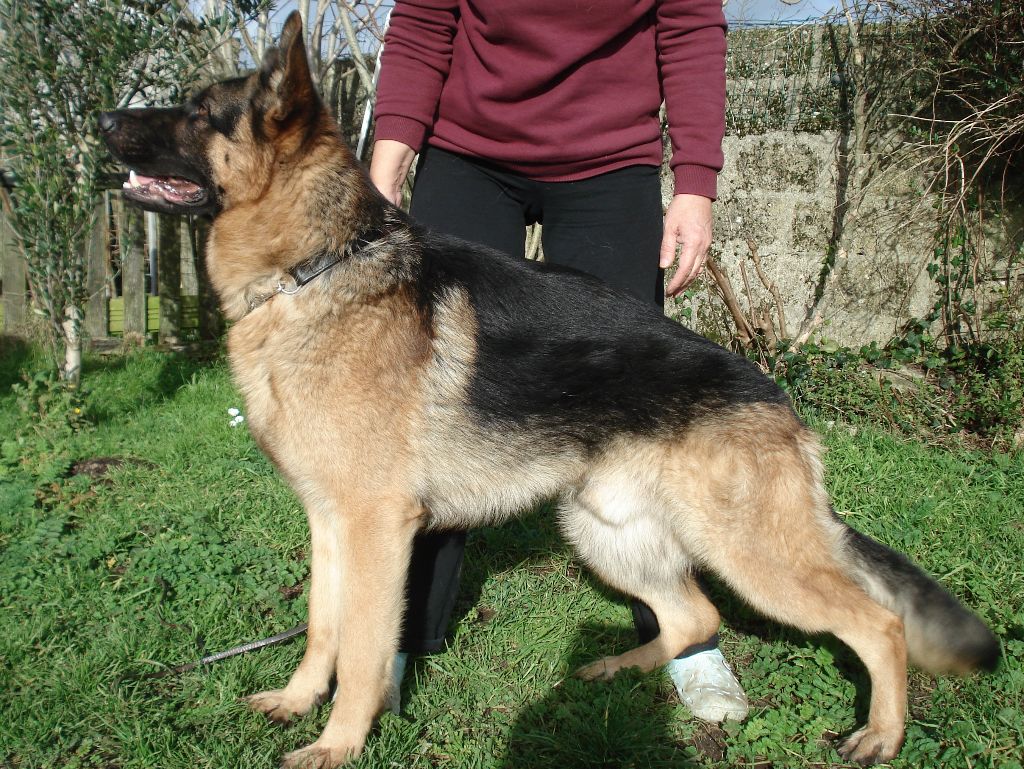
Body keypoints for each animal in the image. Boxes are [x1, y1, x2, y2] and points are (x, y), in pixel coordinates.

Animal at [99, 13, 995, 769]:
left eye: (199, 112)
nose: (105, 118)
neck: (316, 267)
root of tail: (775, 397)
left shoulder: (377, 526)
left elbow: (360, 648)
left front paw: (340, 743)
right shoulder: (329, 521)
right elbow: (323, 626)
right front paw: (296, 702)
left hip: (752, 552)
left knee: (875, 619)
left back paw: (881, 733)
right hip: (604, 527)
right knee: (694, 615)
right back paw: (615, 669)